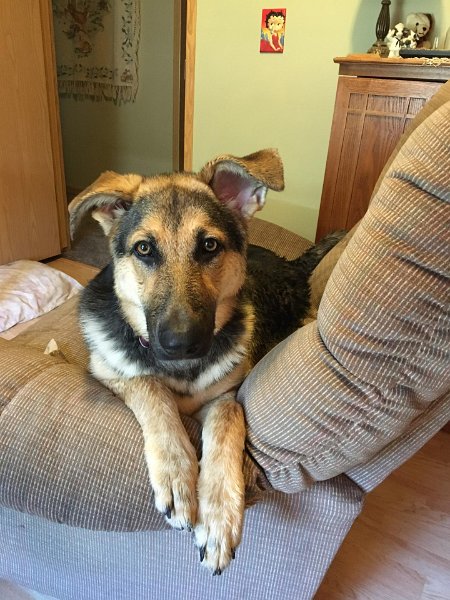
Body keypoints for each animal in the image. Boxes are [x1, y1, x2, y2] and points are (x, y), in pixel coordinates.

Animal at [68, 148, 340, 576]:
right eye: (144, 249)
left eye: (210, 246)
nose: (181, 344)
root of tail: (290, 264)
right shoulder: (107, 371)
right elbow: (149, 384)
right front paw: (176, 474)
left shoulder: (227, 393)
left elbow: (229, 417)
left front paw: (219, 515)